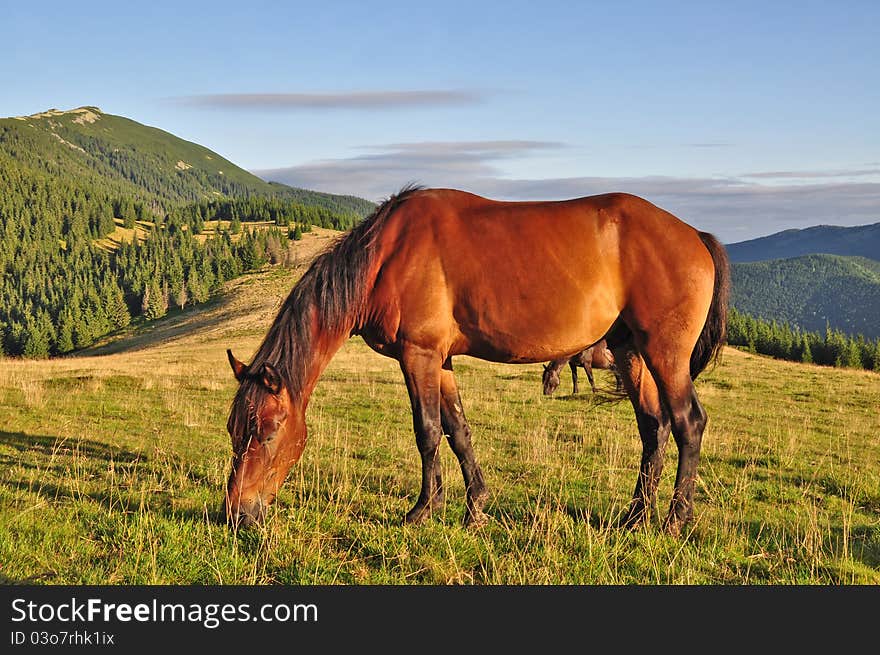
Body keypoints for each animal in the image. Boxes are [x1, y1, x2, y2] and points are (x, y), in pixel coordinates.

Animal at [225, 187, 728, 536]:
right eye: (234, 430)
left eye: (267, 432)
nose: (237, 513)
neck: (385, 256)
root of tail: (695, 236)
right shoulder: (440, 360)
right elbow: (458, 430)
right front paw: (475, 506)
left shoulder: (419, 355)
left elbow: (428, 432)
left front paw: (422, 509)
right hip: (630, 352)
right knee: (653, 427)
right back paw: (635, 516)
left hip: (665, 356)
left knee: (688, 423)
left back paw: (675, 520)